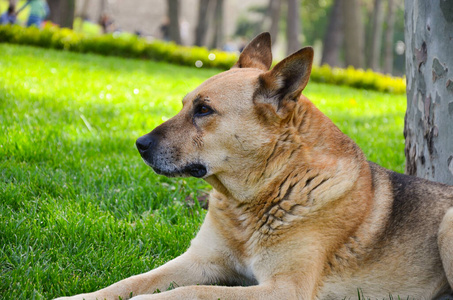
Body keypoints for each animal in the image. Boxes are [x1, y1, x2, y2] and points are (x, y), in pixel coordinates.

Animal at [55, 31, 452, 298]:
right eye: (184, 105)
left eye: (204, 110)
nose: (140, 145)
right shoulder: (199, 262)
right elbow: (131, 282)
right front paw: (80, 297)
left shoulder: (284, 289)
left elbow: (192, 293)